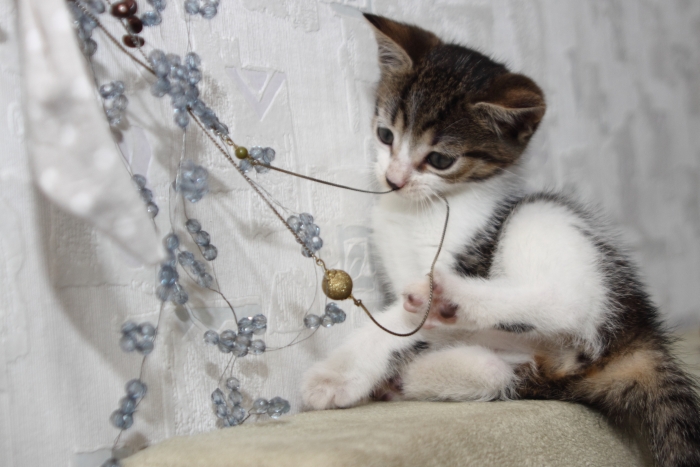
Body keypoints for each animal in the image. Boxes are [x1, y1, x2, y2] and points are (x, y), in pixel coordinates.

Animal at [301, 13, 700, 467]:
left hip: (545, 218)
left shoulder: (464, 254)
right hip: (534, 365)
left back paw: (448, 300)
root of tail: (642, 335)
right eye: (386, 135)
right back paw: (421, 375)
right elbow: (402, 326)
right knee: (505, 371)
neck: (418, 209)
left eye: (440, 160)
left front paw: (333, 375)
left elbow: (394, 325)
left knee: (567, 302)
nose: (394, 179)